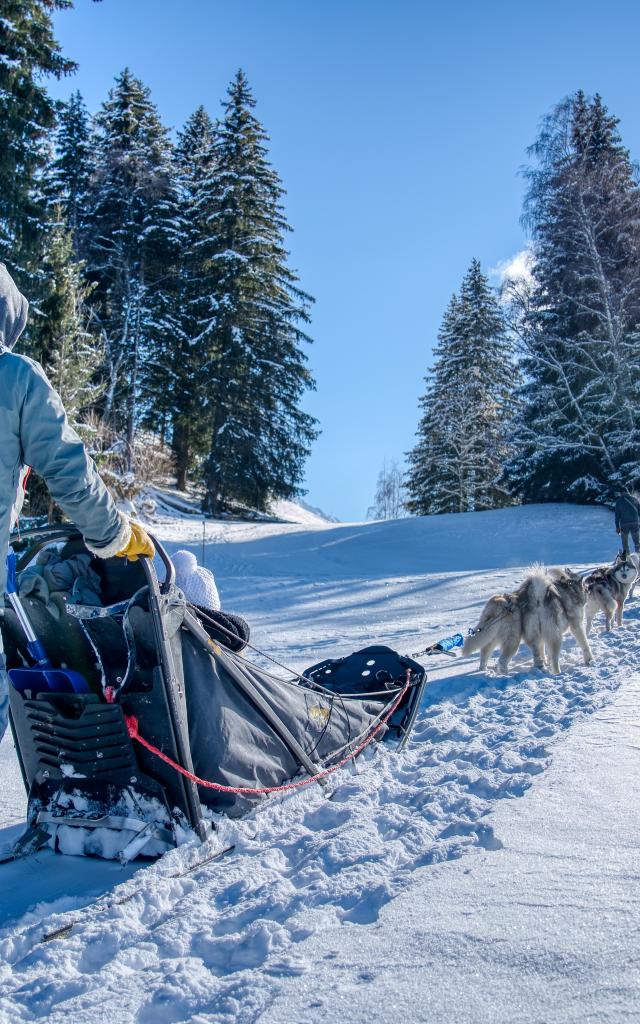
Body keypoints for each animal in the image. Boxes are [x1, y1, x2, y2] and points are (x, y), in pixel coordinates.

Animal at [460, 565, 589, 675]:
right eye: (585, 586)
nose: (588, 589)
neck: (569, 588)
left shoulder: (541, 636)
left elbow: (543, 652)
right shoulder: (576, 626)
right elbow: (585, 644)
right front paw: (589, 660)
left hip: (502, 637)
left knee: (486, 651)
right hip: (542, 638)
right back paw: (556, 673)